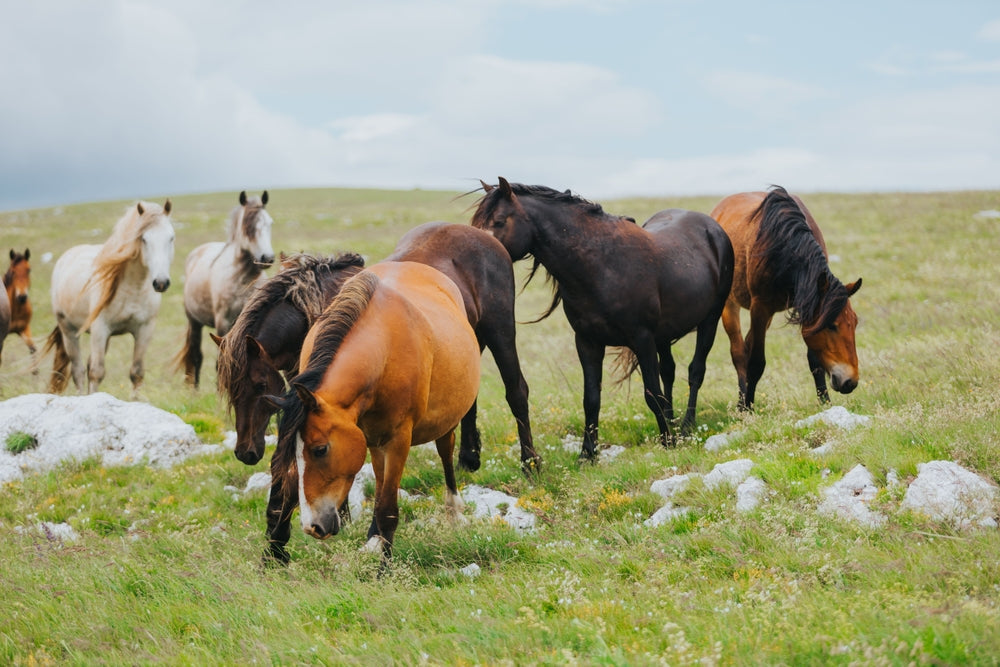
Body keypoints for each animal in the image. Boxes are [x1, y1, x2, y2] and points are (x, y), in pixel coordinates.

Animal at [45, 200, 175, 394]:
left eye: (171, 238)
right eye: (144, 239)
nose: (161, 282)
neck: (132, 289)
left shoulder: (144, 329)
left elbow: (136, 373)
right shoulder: (100, 328)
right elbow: (96, 372)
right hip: (69, 331)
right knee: (79, 371)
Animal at [178, 191, 275, 387]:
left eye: (269, 223)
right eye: (248, 226)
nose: (267, 258)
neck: (242, 281)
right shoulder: (223, 323)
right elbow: (220, 362)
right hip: (194, 322)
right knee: (196, 356)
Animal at [266, 261, 480, 563]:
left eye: (320, 450)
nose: (312, 527)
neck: (383, 349)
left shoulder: (399, 440)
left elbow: (388, 509)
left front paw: (384, 568)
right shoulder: (370, 437)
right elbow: (380, 496)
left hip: (443, 423)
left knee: (445, 451)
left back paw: (453, 510)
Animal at [471, 177, 734, 460]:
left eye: (499, 221)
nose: (481, 252)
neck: (601, 265)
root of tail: (713, 227)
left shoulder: (642, 339)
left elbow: (651, 393)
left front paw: (668, 442)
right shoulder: (588, 342)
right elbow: (592, 399)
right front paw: (587, 454)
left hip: (709, 320)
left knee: (696, 371)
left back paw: (685, 427)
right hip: (664, 336)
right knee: (669, 372)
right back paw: (673, 422)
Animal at [709, 186, 861, 410]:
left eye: (855, 323)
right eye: (832, 326)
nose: (850, 381)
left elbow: (814, 361)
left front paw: (825, 402)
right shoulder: (760, 307)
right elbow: (756, 362)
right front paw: (749, 407)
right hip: (730, 305)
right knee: (738, 352)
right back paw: (742, 403)